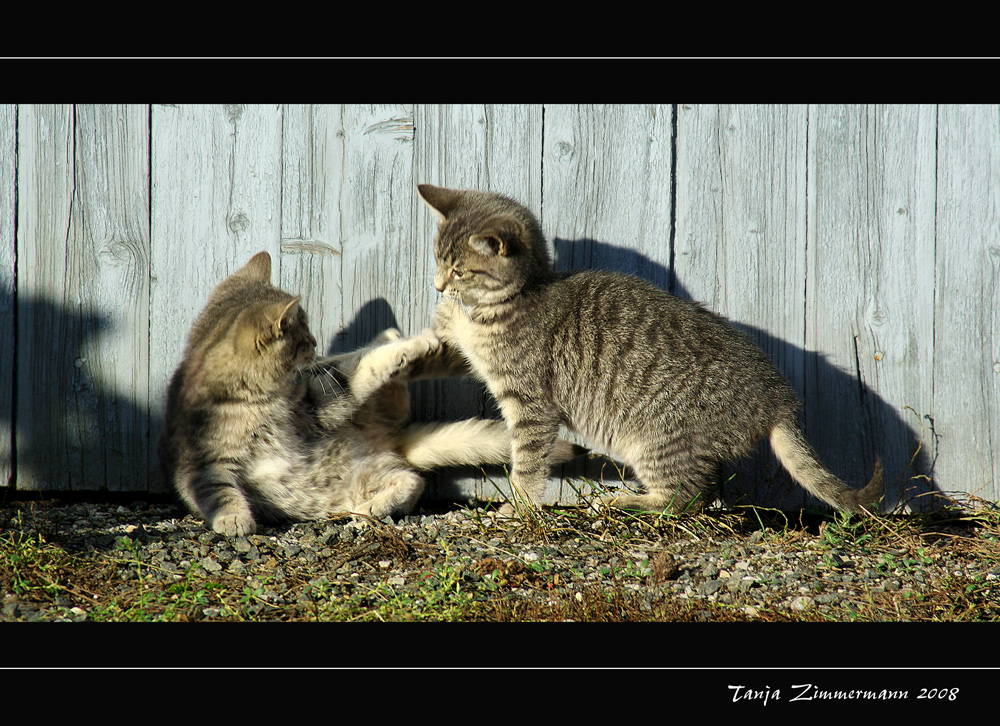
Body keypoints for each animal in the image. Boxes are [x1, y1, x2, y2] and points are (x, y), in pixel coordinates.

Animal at [155, 253, 564, 536]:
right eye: (302, 334)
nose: (315, 343)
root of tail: (388, 441)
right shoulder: (206, 462)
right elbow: (218, 491)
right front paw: (234, 520)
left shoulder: (315, 395)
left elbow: (355, 363)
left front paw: (405, 342)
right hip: (363, 474)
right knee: (411, 479)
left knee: (408, 461)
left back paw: (395, 338)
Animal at [418, 185, 888, 520]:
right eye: (437, 261)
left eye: (459, 270)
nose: (437, 286)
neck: (494, 307)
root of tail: (779, 401)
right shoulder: (457, 345)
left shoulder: (531, 405)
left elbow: (528, 462)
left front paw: (519, 505)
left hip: (654, 439)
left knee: (686, 497)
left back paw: (622, 502)